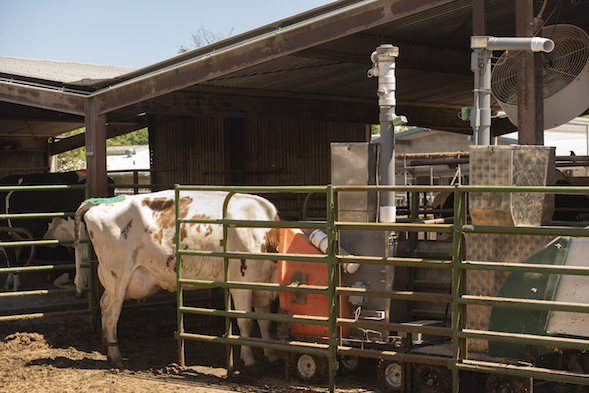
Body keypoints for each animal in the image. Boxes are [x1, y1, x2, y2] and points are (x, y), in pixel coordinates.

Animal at [74, 190, 280, 368]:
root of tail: (104, 202)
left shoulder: (264, 287)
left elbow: (266, 321)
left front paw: (271, 353)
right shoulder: (240, 284)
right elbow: (246, 322)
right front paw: (249, 359)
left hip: (115, 280)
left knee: (103, 304)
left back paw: (106, 347)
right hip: (117, 274)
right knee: (111, 313)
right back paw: (116, 357)